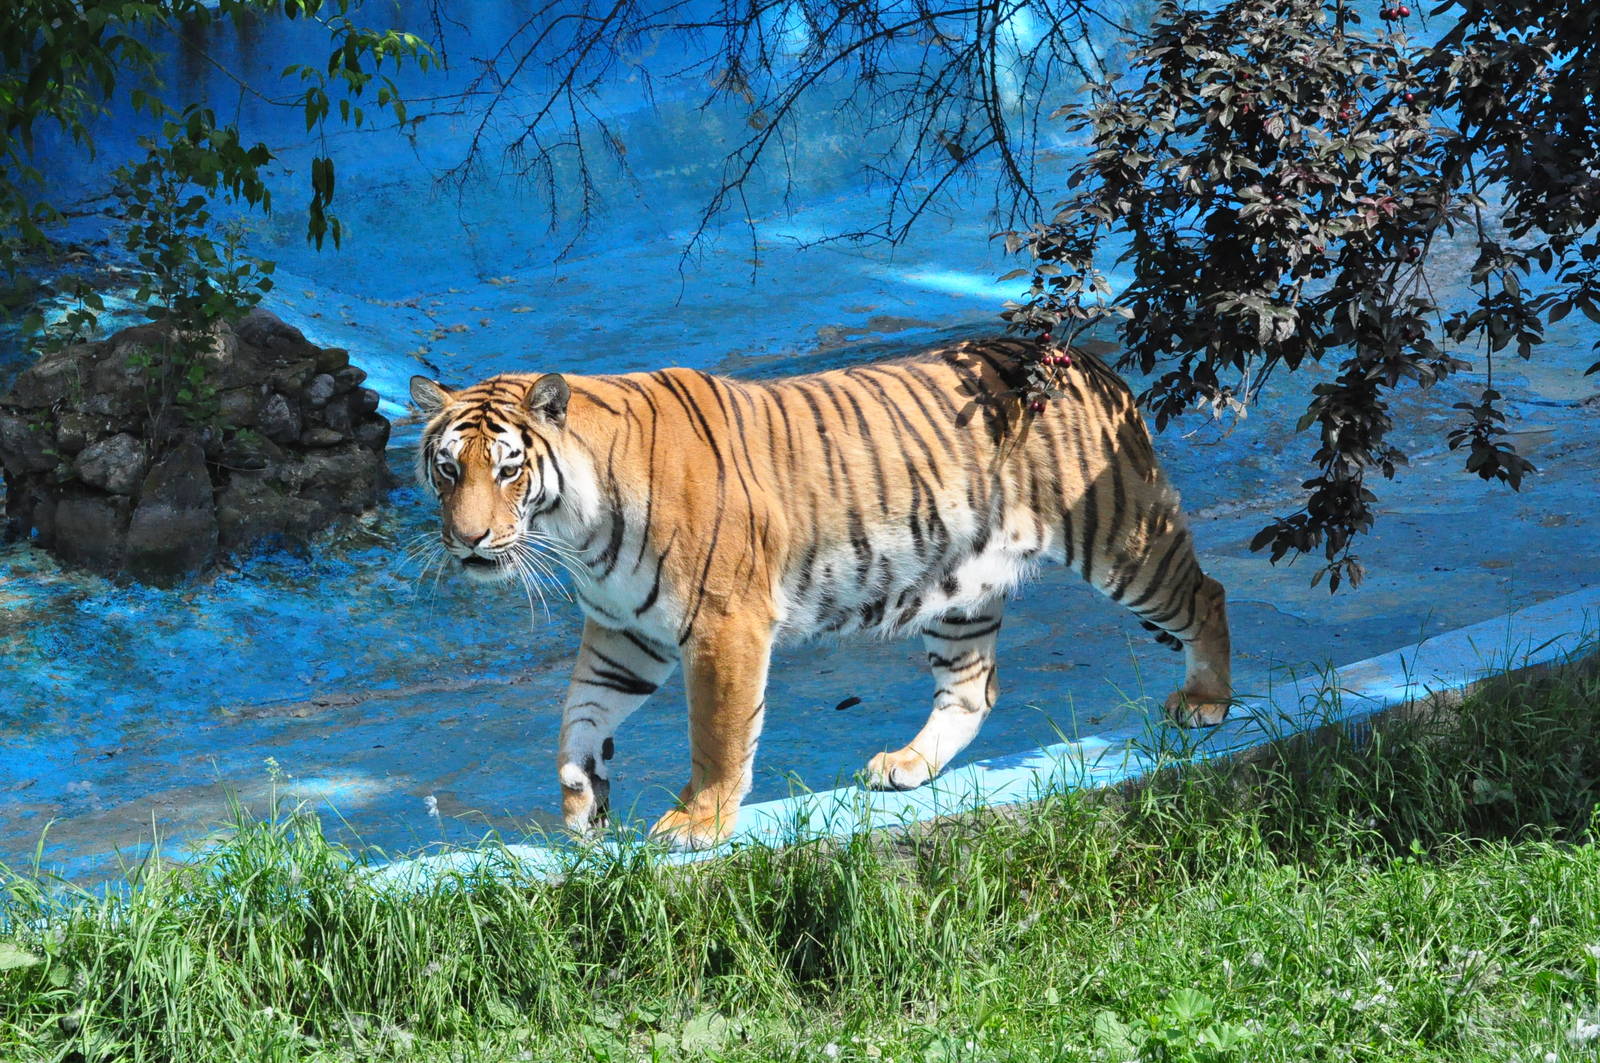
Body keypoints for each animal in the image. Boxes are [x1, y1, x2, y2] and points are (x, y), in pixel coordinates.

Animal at [409, 337, 1231, 850]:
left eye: (508, 468)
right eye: (448, 469)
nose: (469, 540)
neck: (575, 527)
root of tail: (1086, 361)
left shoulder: (724, 624)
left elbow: (717, 732)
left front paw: (698, 823)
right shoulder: (624, 635)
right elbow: (576, 720)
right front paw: (582, 809)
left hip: (1120, 539)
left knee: (1207, 592)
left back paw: (1205, 702)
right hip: (961, 588)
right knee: (972, 690)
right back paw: (909, 764)